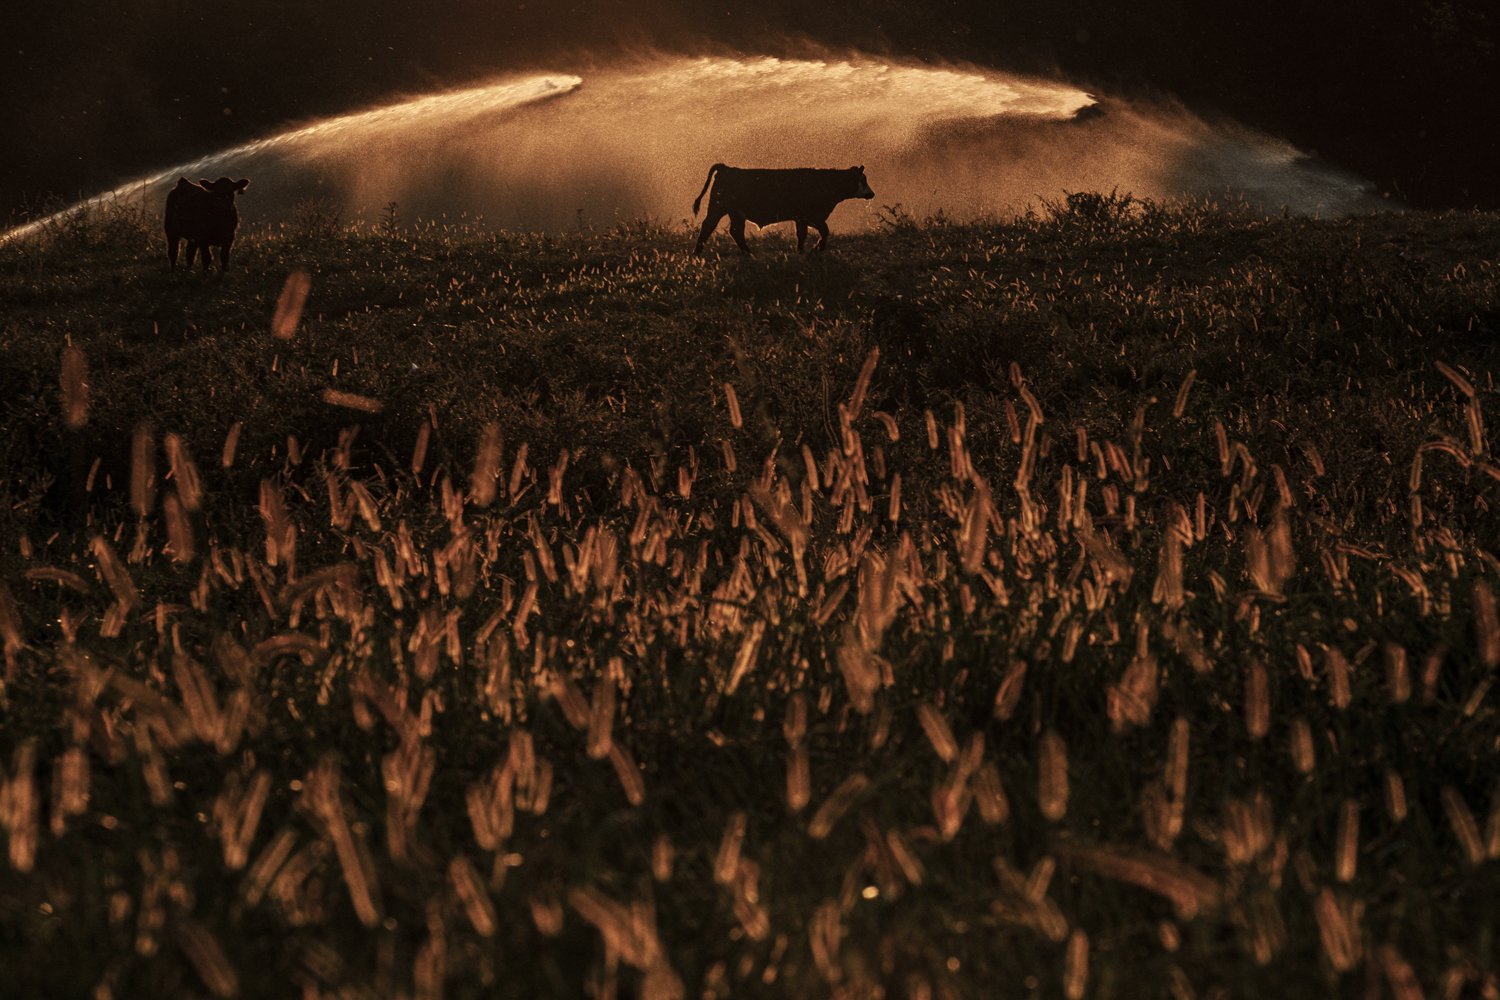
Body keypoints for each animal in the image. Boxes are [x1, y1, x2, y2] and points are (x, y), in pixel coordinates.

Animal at [693, 164, 876, 254]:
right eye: (862, 180)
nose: (872, 193)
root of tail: (727, 168)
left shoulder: (805, 218)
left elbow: (807, 234)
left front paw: (803, 251)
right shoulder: (809, 215)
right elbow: (821, 232)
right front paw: (816, 249)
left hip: (734, 212)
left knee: (734, 231)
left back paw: (748, 254)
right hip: (718, 208)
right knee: (708, 227)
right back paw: (697, 254)